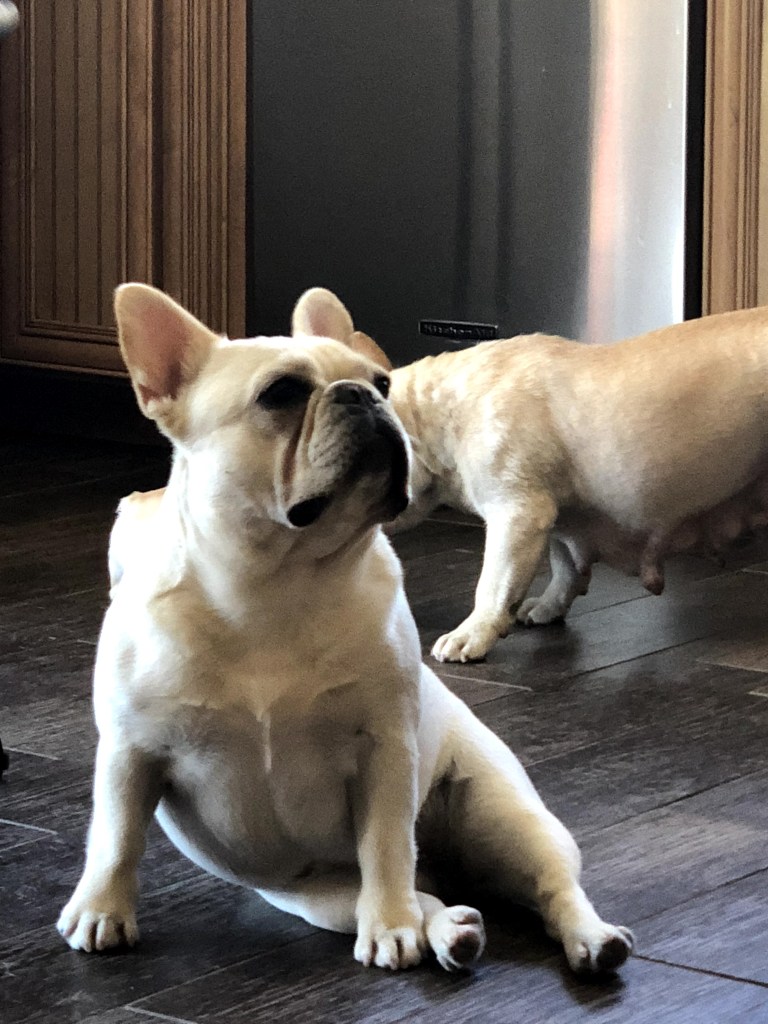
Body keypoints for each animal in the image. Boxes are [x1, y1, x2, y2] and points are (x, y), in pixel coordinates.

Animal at [58, 283, 632, 976]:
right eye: (280, 393)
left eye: (383, 382)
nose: (362, 395)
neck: (274, 583)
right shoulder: (130, 752)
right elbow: (115, 836)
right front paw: (101, 911)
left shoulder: (383, 748)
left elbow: (385, 844)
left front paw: (388, 928)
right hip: (324, 898)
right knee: (423, 893)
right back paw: (449, 929)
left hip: (509, 812)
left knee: (545, 884)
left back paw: (590, 938)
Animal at [293, 290, 768, 663]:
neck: (433, 419)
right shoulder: (556, 511)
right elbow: (564, 563)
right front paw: (549, 605)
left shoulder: (517, 512)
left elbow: (494, 582)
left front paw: (473, 634)